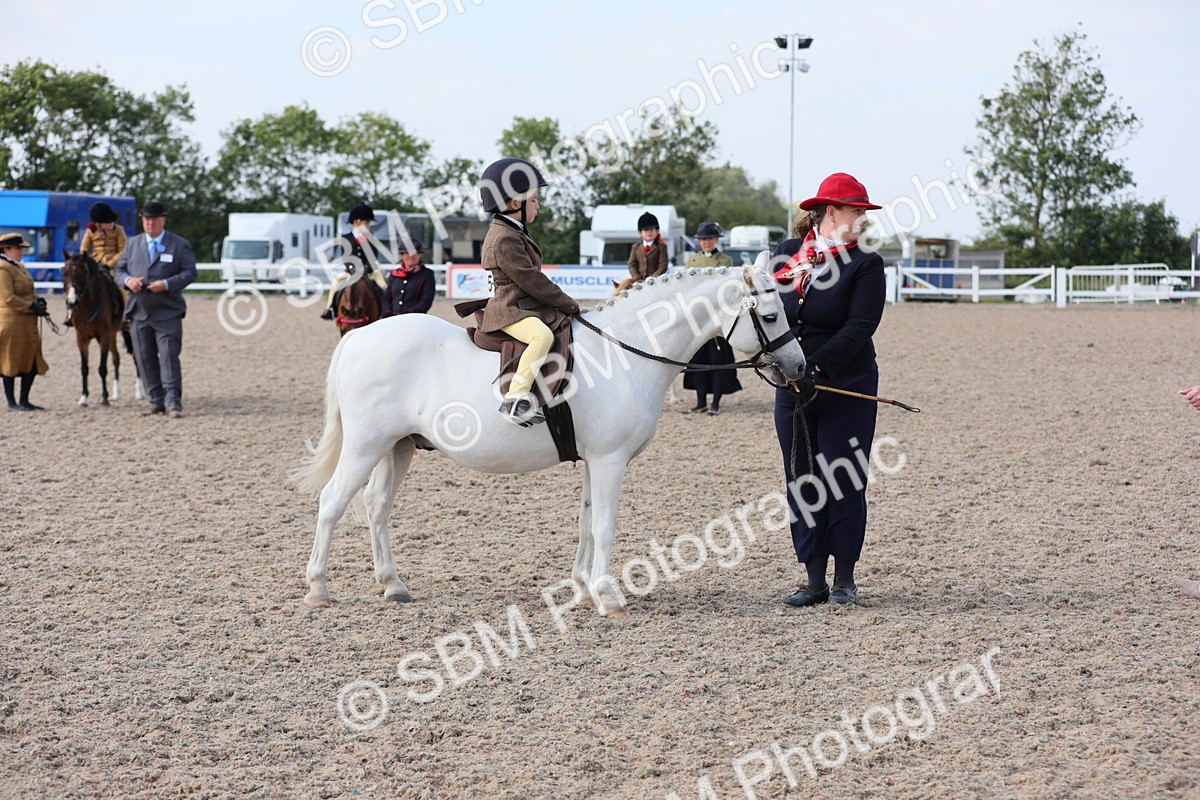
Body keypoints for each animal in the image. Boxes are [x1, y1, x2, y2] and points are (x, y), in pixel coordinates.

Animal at [61, 251, 137, 407]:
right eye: (64, 272)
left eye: (82, 274)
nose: (71, 302)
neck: (88, 305)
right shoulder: (82, 338)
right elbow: (84, 368)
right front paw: (84, 398)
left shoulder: (104, 337)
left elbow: (102, 368)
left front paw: (104, 398)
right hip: (113, 335)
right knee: (116, 358)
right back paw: (116, 393)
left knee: (137, 358)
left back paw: (140, 392)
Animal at [294, 256, 806, 617]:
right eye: (771, 315)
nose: (801, 367)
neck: (626, 351)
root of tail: (360, 337)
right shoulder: (609, 460)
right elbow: (604, 526)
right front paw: (609, 596)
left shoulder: (595, 460)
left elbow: (585, 522)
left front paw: (582, 589)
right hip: (365, 446)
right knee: (332, 502)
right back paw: (318, 588)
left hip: (396, 448)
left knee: (377, 507)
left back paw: (393, 585)